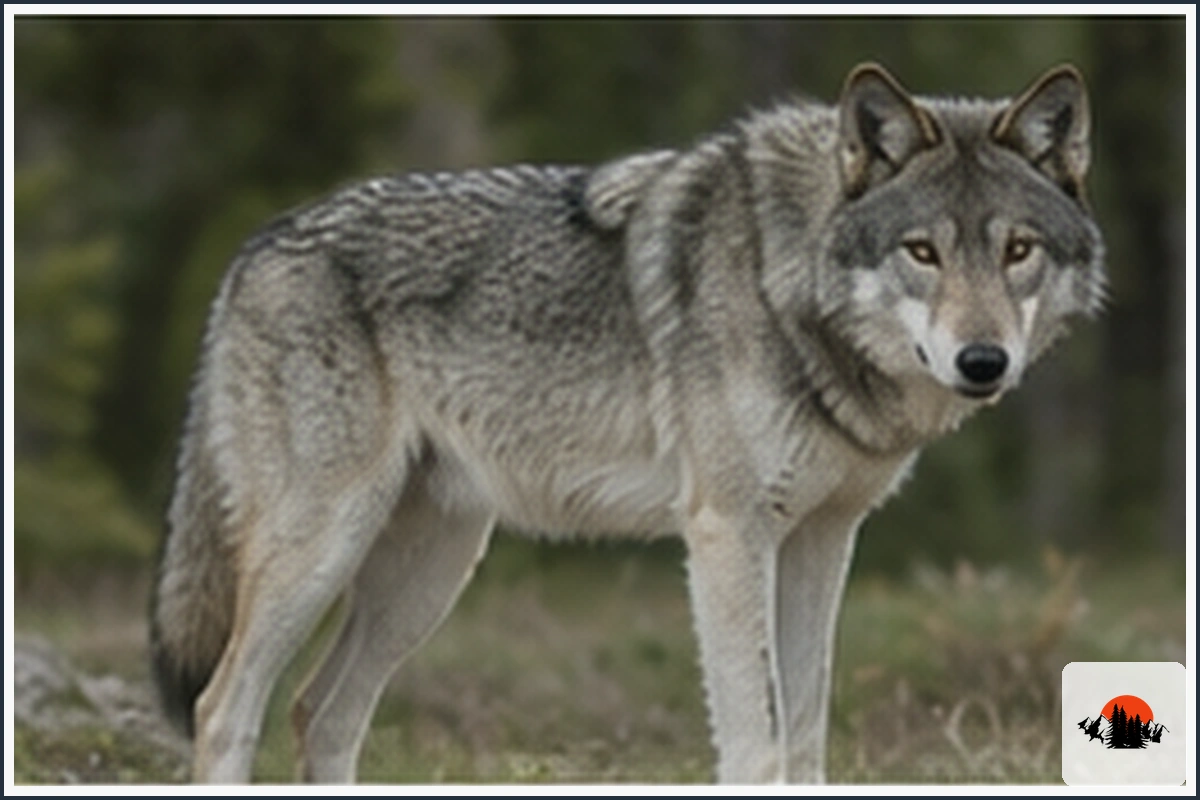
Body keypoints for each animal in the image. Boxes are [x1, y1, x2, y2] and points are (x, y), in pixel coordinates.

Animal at [150, 62, 1104, 783]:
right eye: (923, 252)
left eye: (1018, 251)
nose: (983, 362)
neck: (786, 281)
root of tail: (252, 248)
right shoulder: (728, 533)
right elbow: (758, 738)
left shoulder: (823, 538)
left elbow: (805, 734)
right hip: (325, 547)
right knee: (223, 706)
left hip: (429, 574)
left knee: (322, 712)